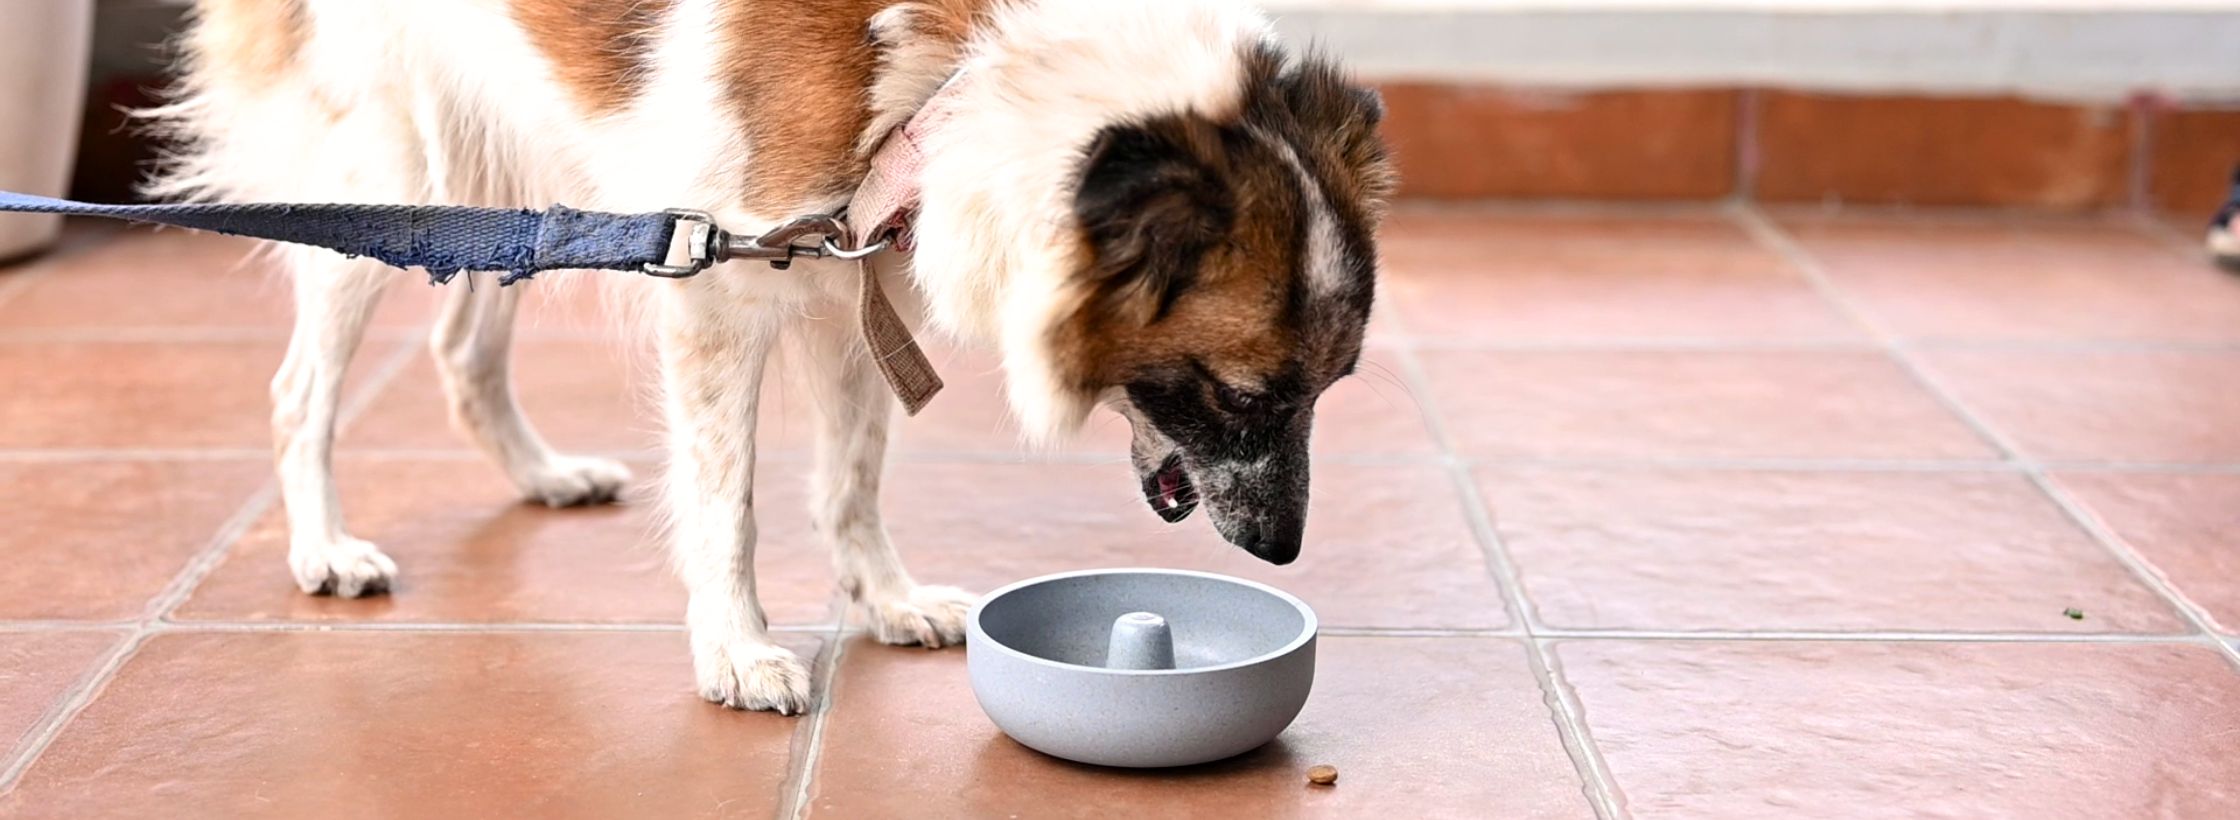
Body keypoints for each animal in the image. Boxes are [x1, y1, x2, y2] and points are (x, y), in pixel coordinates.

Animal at [153, 0, 1379, 712]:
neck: (967, 69)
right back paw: (324, 547)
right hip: (387, 170)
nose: (1281, 551)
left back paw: (542, 475)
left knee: (462, 350)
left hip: (510, 191)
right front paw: (736, 655)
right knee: (297, 392)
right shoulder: (717, 284)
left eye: (1330, 390)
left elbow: (851, 479)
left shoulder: (848, 275)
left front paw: (885, 600)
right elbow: (726, 506)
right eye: (1241, 396)